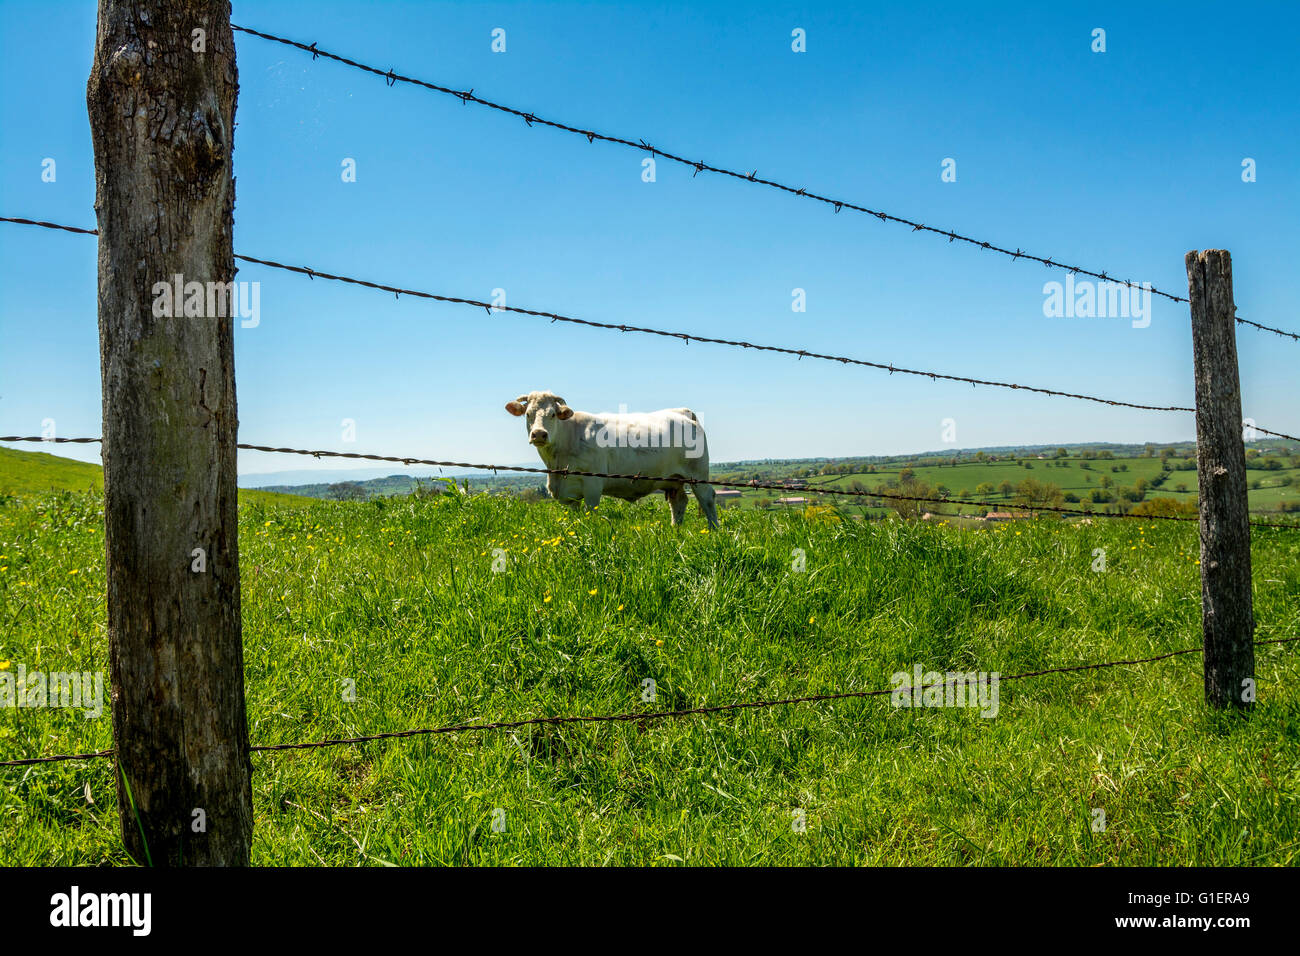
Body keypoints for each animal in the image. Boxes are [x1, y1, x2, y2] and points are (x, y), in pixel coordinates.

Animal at [504, 390, 722, 530]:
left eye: (552, 414)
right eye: (528, 414)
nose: (539, 434)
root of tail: (682, 412)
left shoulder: (592, 485)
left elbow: (590, 513)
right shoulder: (570, 492)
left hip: (697, 473)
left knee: (707, 498)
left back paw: (714, 530)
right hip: (673, 479)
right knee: (679, 501)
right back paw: (675, 530)